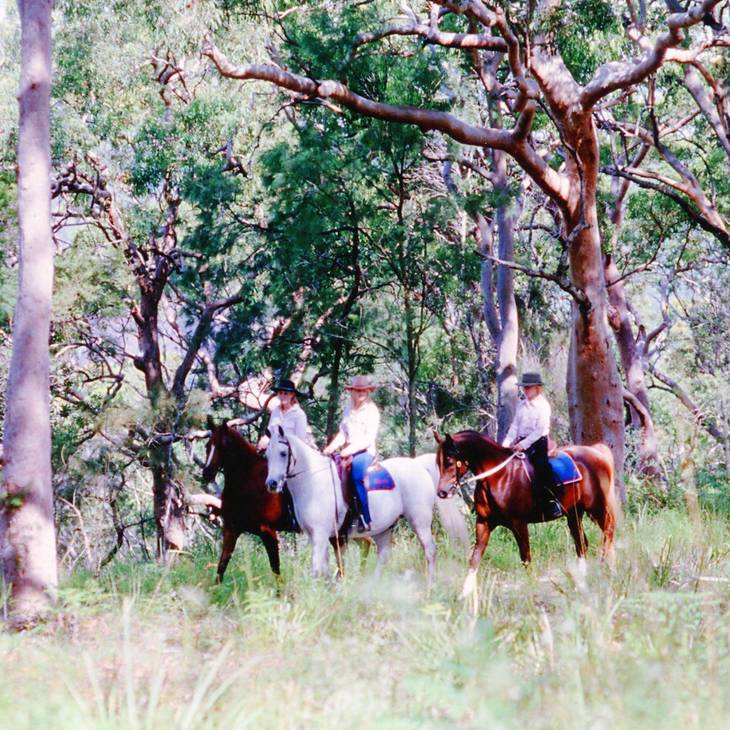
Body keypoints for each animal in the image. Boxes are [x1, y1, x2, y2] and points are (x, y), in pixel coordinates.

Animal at [202, 421, 299, 582]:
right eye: (207, 445)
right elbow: (221, 567)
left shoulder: (267, 531)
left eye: (224, 444)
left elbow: (275, 568)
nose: (207, 473)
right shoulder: (231, 530)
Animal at [264, 426, 467, 580]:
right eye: (266, 455)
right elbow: (324, 569)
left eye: (283, 453)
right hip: (383, 528)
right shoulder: (317, 536)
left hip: (420, 521)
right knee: (384, 555)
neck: (313, 481)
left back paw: (431, 584)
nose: (271, 483)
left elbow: (317, 568)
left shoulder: (321, 535)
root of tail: (418, 465)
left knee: (430, 551)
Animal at [435, 430, 618, 597]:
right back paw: (580, 584)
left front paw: (532, 589)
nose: (442, 492)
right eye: (438, 462)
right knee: (581, 544)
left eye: (449, 462)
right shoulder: (484, 522)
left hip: (596, 507)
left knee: (608, 532)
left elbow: (526, 558)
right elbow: (474, 558)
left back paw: (607, 569)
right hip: (574, 512)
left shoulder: (519, 524)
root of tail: (596, 451)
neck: (499, 477)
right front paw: (464, 594)